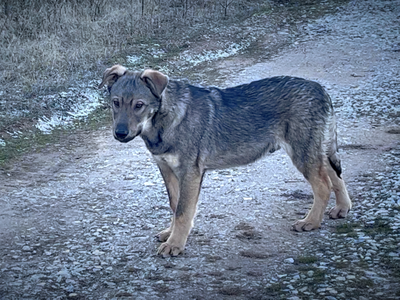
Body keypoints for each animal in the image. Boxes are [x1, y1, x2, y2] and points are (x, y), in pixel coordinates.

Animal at [98, 65, 352, 258]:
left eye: (139, 105)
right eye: (116, 103)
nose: (120, 133)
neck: (163, 122)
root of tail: (320, 88)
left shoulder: (190, 172)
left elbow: (182, 211)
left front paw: (175, 244)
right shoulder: (167, 170)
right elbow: (174, 206)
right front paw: (171, 234)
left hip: (302, 154)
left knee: (324, 186)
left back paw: (311, 222)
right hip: (316, 152)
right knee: (335, 176)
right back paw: (342, 209)